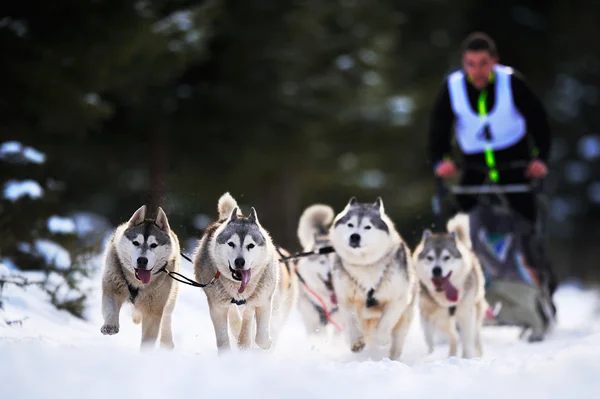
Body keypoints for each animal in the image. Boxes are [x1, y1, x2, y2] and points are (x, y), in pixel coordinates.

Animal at [99, 206, 179, 350]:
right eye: (136, 242)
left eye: (154, 245)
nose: (142, 260)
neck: (136, 282)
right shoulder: (112, 287)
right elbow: (110, 307)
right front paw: (110, 325)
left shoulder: (154, 311)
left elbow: (148, 339)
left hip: (170, 299)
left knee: (166, 318)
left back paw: (166, 342)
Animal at [192, 194, 296, 354]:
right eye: (231, 243)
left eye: (250, 245)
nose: (240, 262)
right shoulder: (218, 307)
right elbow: (224, 338)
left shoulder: (263, 300)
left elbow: (259, 335)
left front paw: (258, 342)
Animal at [328, 198, 418, 360]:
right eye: (350, 224)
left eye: (367, 227)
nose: (355, 236)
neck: (365, 265)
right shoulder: (346, 299)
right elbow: (351, 320)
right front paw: (356, 341)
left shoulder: (397, 299)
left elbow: (386, 321)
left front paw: (381, 338)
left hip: (404, 319)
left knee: (396, 340)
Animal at [412, 214, 488, 360]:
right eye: (429, 257)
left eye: (447, 257)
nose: (436, 270)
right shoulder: (427, 317)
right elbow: (430, 342)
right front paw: (431, 355)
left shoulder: (466, 314)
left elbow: (467, 341)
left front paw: (467, 358)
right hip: (443, 321)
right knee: (453, 336)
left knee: (472, 336)